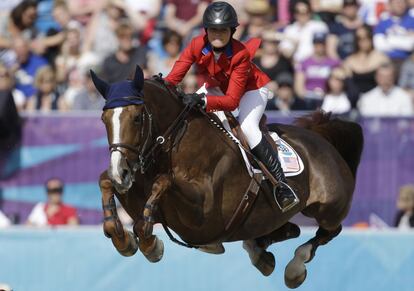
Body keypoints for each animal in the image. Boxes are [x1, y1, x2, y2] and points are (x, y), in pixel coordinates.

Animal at [92, 66, 364, 290]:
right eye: (104, 119)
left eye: (137, 118)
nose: (121, 172)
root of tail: (322, 138)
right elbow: (105, 181)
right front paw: (124, 239)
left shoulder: (203, 214)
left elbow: (163, 183)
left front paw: (150, 245)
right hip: (271, 217)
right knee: (290, 230)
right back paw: (260, 254)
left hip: (328, 207)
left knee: (329, 230)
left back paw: (294, 269)